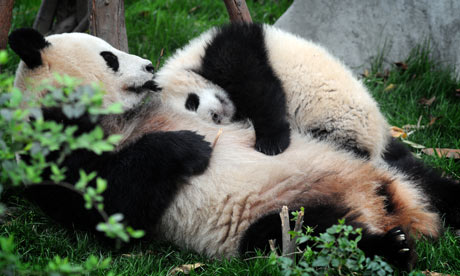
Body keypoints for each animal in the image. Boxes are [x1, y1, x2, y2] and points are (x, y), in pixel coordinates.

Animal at [9, 28, 458, 272]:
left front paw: (266, 136)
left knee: (436, 185)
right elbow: (110, 210)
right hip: (283, 216)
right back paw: (395, 249)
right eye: (109, 57)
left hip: (390, 164)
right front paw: (188, 146)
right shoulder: (50, 155)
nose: (149, 67)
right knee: (311, 237)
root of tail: (385, 204)